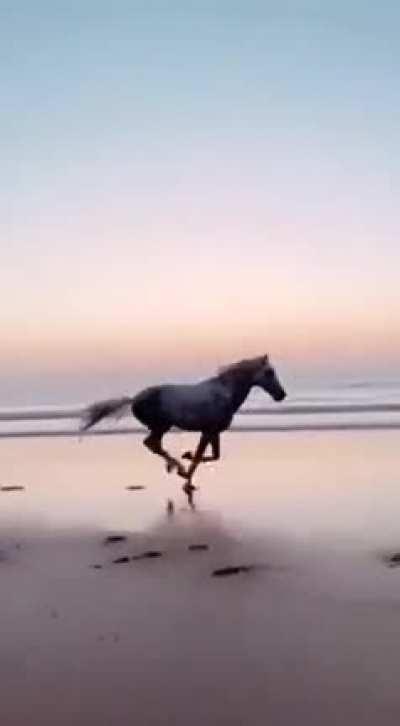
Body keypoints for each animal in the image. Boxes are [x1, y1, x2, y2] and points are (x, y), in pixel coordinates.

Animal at [80, 354, 286, 505]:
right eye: (269, 372)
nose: (281, 395)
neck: (225, 393)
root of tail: (135, 399)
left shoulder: (213, 432)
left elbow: (213, 456)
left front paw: (187, 469)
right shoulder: (208, 431)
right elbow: (199, 457)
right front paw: (186, 475)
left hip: (161, 427)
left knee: (153, 445)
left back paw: (173, 466)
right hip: (161, 426)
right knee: (151, 443)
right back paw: (175, 467)